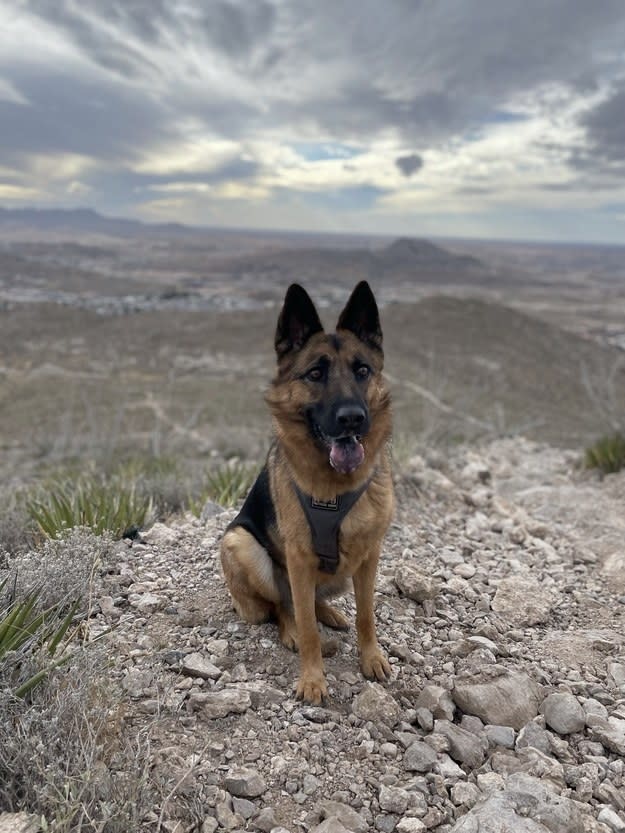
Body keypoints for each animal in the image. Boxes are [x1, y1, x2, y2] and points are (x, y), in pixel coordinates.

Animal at [222, 282, 392, 704]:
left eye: (362, 370)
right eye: (315, 373)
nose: (352, 418)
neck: (334, 488)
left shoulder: (370, 555)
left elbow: (367, 614)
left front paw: (371, 658)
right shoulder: (298, 559)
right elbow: (304, 623)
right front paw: (313, 680)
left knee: (312, 600)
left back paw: (329, 612)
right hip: (243, 545)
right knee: (282, 606)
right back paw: (293, 632)